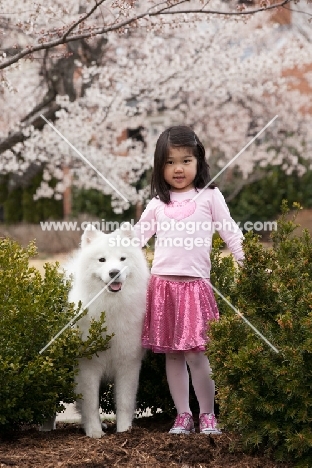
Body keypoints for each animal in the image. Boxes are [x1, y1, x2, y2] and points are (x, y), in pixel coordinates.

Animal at [67, 223, 150, 438]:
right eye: (102, 260)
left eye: (122, 259)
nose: (114, 272)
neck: (111, 309)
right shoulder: (87, 367)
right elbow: (90, 403)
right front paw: (94, 432)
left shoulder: (128, 364)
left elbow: (124, 401)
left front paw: (125, 430)